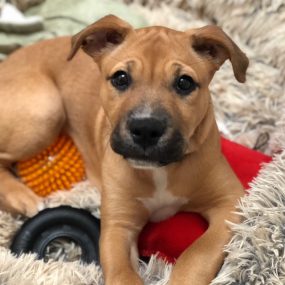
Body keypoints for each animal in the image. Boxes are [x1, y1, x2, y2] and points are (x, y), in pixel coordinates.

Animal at [0, 15, 246, 284]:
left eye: (184, 83)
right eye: (120, 78)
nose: (146, 128)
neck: (161, 171)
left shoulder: (230, 202)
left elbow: (198, 252)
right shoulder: (118, 227)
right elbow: (122, 274)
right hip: (45, 110)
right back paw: (21, 196)